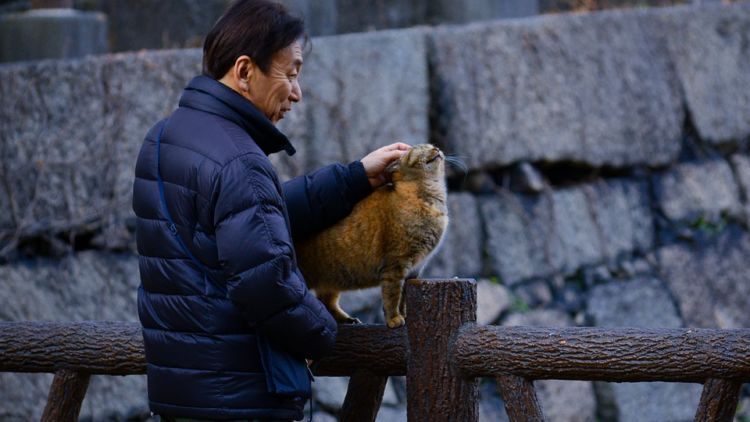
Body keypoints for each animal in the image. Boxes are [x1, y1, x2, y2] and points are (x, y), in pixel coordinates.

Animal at [294, 143, 446, 328]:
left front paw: (403, 315)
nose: (436, 148)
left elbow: (404, 298)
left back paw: (347, 319)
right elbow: (392, 296)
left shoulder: (414, 269)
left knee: (327, 301)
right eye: (419, 148)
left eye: (431, 146)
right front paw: (394, 319)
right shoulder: (395, 264)